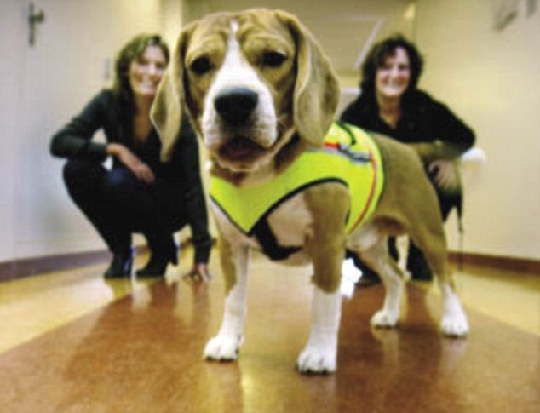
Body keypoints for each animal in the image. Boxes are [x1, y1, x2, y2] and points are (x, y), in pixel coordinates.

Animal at [152, 8, 468, 374]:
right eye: (200, 64)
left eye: (274, 58)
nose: (234, 102)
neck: (260, 172)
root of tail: (406, 148)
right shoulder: (231, 247)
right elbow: (234, 300)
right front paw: (229, 340)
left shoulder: (327, 243)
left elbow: (324, 303)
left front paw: (319, 350)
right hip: (366, 245)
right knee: (396, 275)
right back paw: (390, 314)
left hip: (427, 234)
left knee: (446, 279)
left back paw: (455, 320)